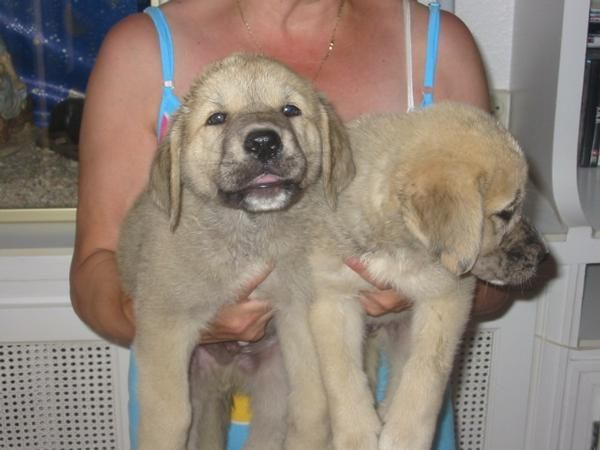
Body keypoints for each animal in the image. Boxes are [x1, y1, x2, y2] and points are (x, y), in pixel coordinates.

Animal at [115, 54, 354, 450]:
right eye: (217, 118)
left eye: (290, 110)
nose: (263, 142)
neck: (249, 232)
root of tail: (227, 378)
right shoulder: (165, 325)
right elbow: (169, 419)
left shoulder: (297, 313)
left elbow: (312, 404)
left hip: (272, 387)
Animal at [308, 102, 548, 450]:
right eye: (505, 213)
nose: (543, 256)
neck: (398, 248)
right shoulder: (332, 299)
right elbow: (341, 373)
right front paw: (357, 434)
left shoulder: (447, 298)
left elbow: (426, 371)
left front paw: (403, 436)